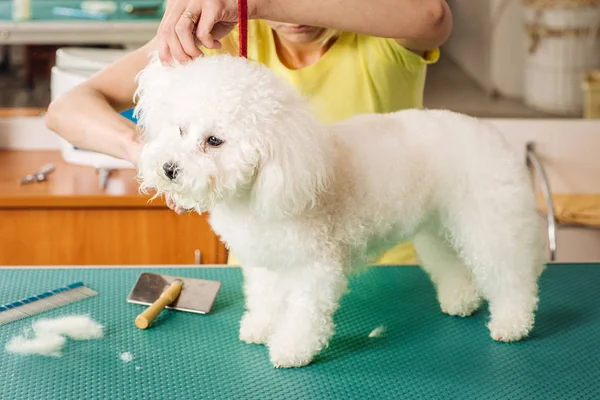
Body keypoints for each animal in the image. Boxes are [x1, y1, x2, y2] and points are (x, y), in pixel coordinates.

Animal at [135, 53, 548, 368]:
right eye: (180, 129)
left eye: (214, 140)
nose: (169, 169)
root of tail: (490, 133)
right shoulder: (267, 262)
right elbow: (266, 299)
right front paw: (261, 327)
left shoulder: (316, 268)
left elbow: (305, 314)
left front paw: (291, 349)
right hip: (438, 227)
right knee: (453, 265)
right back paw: (460, 300)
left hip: (491, 224)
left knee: (512, 278)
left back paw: (512, 323)